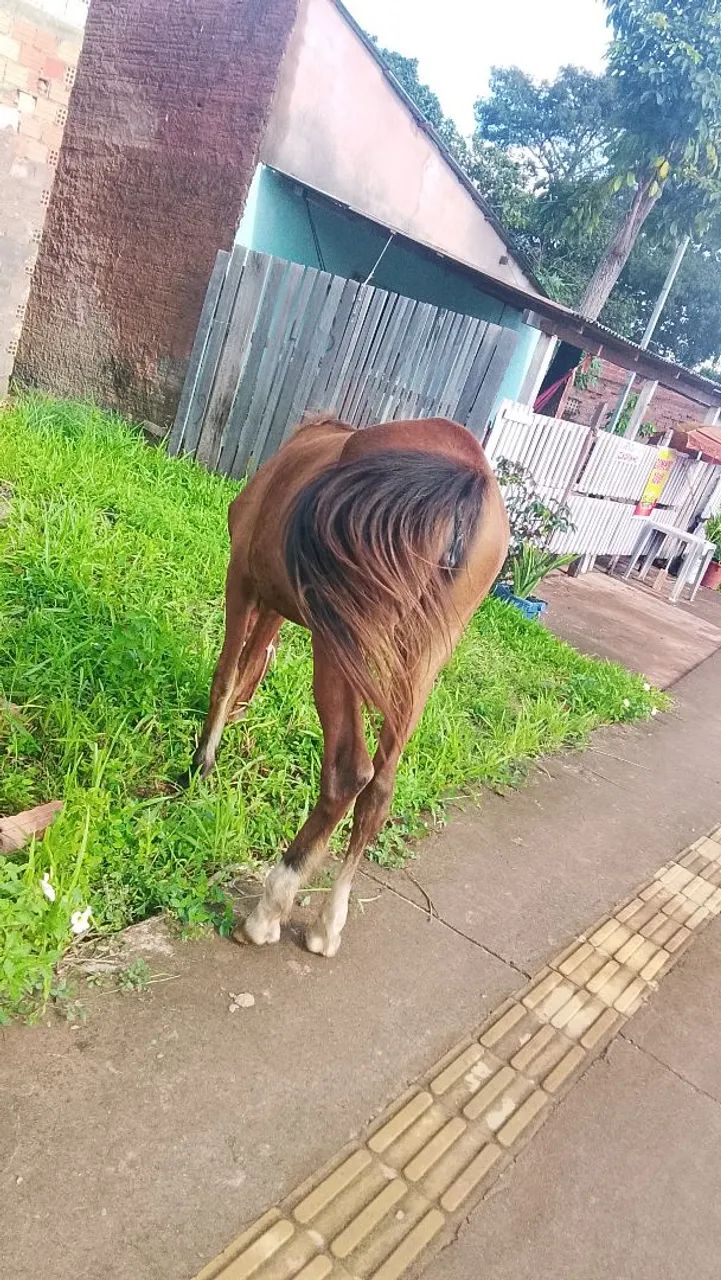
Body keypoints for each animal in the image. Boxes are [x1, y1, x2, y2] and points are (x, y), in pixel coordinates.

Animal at [191, 416, 509, 957]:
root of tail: (467, 473)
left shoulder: (244, 577)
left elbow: (228, 672)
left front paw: (201, 765)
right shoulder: (277, 598)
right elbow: (254, 657)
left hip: (338, 641)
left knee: (348, 771)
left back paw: (268, 911)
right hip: (422, 658)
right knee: (379, 788)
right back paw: (327, 923)